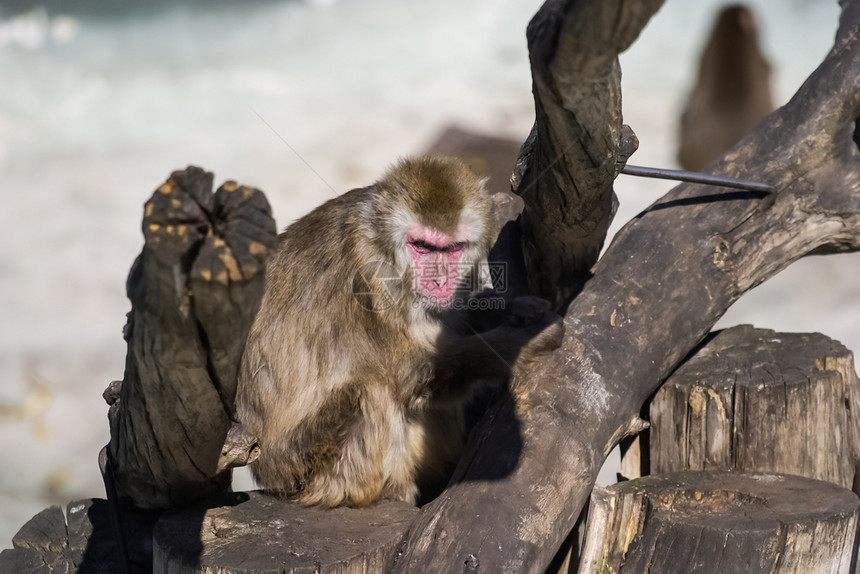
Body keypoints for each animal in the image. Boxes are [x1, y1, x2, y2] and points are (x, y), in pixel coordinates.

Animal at [235, 156, 564, 508]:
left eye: (453, 248)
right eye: (422, 246)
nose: (439, 281)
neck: (384, 251)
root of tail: (270, 479)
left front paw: (513, 310)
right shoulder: (367, 280)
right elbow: (410, 373)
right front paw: (527, 341)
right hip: (307, 468)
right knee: (371, 387)